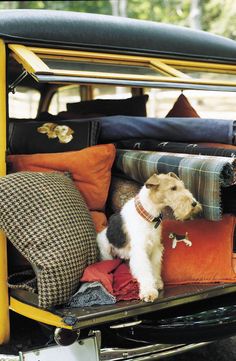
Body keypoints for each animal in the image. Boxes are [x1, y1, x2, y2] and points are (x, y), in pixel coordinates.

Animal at [97, 173, 202, 302]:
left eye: (182, 185)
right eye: (173, 188)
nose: (194, 204)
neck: (149, 215)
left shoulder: (156, 248)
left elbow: (154, 267)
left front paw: (156, 283)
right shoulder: (140, 251)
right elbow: (145, 271)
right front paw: (149, 292)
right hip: (106, 251)